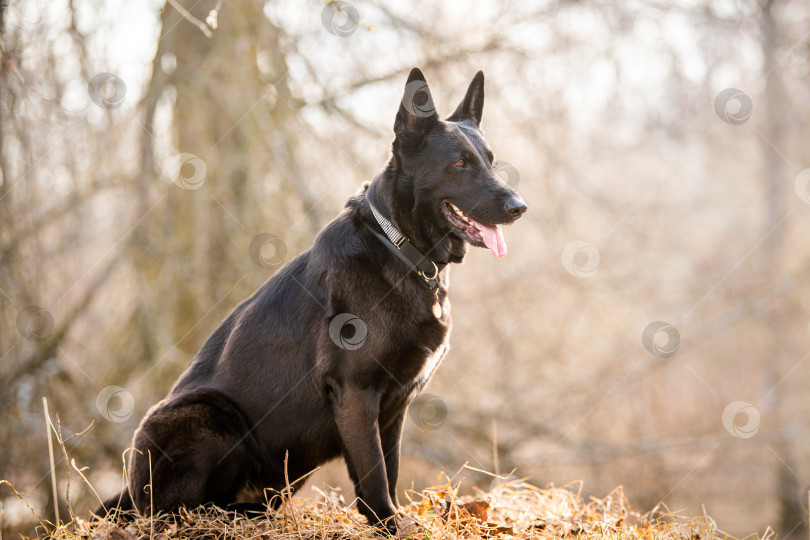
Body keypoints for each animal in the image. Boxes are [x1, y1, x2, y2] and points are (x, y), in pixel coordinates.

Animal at [98, 66, 528, 532]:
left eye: (490, 160)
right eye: (459, 163)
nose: (520, 207)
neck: (398, 249)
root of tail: (132, 493)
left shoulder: (395, 406)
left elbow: (389, 468)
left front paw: (391, 519)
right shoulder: (356, 392)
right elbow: (374, 472)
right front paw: (389, 524)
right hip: (208, 418)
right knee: (178, 510)